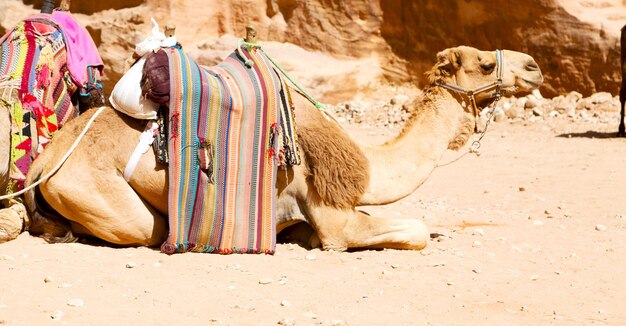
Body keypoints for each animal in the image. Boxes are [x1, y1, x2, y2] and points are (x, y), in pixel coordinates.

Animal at [3, 45, 540, 251]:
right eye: (483, 64)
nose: (534, 66)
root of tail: (47, 156)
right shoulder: (332, 214)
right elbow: (415, 230)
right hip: (95, 191)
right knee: (142, 227)